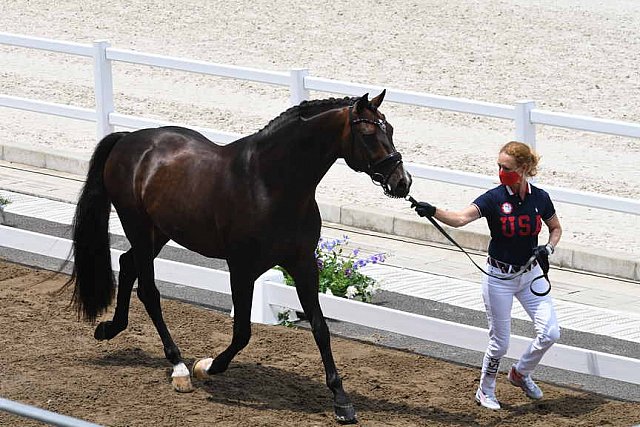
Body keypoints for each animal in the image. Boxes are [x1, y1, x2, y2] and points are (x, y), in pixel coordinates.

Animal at [66, 91, 410, 424]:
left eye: (391, 129)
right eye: (367, 133)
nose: (402, 182)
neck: (270, 183)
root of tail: (128, 139)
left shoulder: (303, 265)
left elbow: (320, 328)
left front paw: (341, 401)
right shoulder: (242, 269)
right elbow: (243, 331)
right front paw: (206, 366)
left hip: (160, 231)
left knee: (127, 266)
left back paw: (110, 328)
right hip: (137, 224)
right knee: (148, 290)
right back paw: (179, 368)